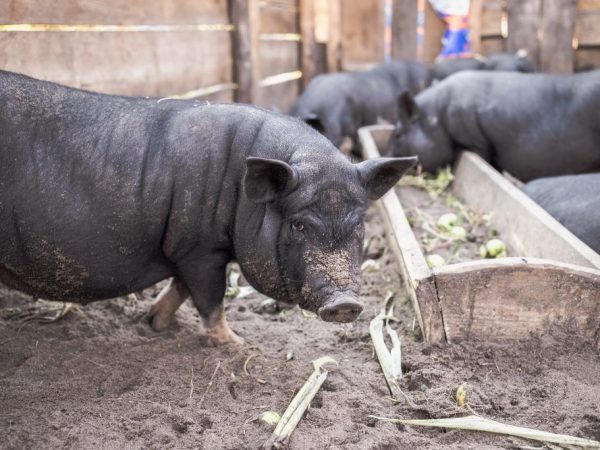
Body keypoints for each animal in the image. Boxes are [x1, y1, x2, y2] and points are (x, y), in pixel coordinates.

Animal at [0, 70, 418, 344]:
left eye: (360, 225)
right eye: (298, 225)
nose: (345, 303)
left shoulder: (192, 249)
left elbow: (181, 288)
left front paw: (153, 323)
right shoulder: (199, 250)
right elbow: (210, 300)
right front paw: (238, 345)